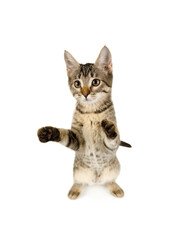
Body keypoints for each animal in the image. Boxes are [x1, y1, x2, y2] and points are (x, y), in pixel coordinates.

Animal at [37, 46, 131, 199]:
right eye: (77, 83)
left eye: (95, 82)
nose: (85, 94)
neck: (91, 112)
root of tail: (96, 181)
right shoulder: (78, 140)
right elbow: (64, 135)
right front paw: (49, 132)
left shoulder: (111, 146)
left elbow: (113, 139)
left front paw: (109, 129)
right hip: (77, 171)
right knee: (79, 181)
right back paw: (75, 189)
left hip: (115, 168)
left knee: (109, 180)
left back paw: (115, 187)